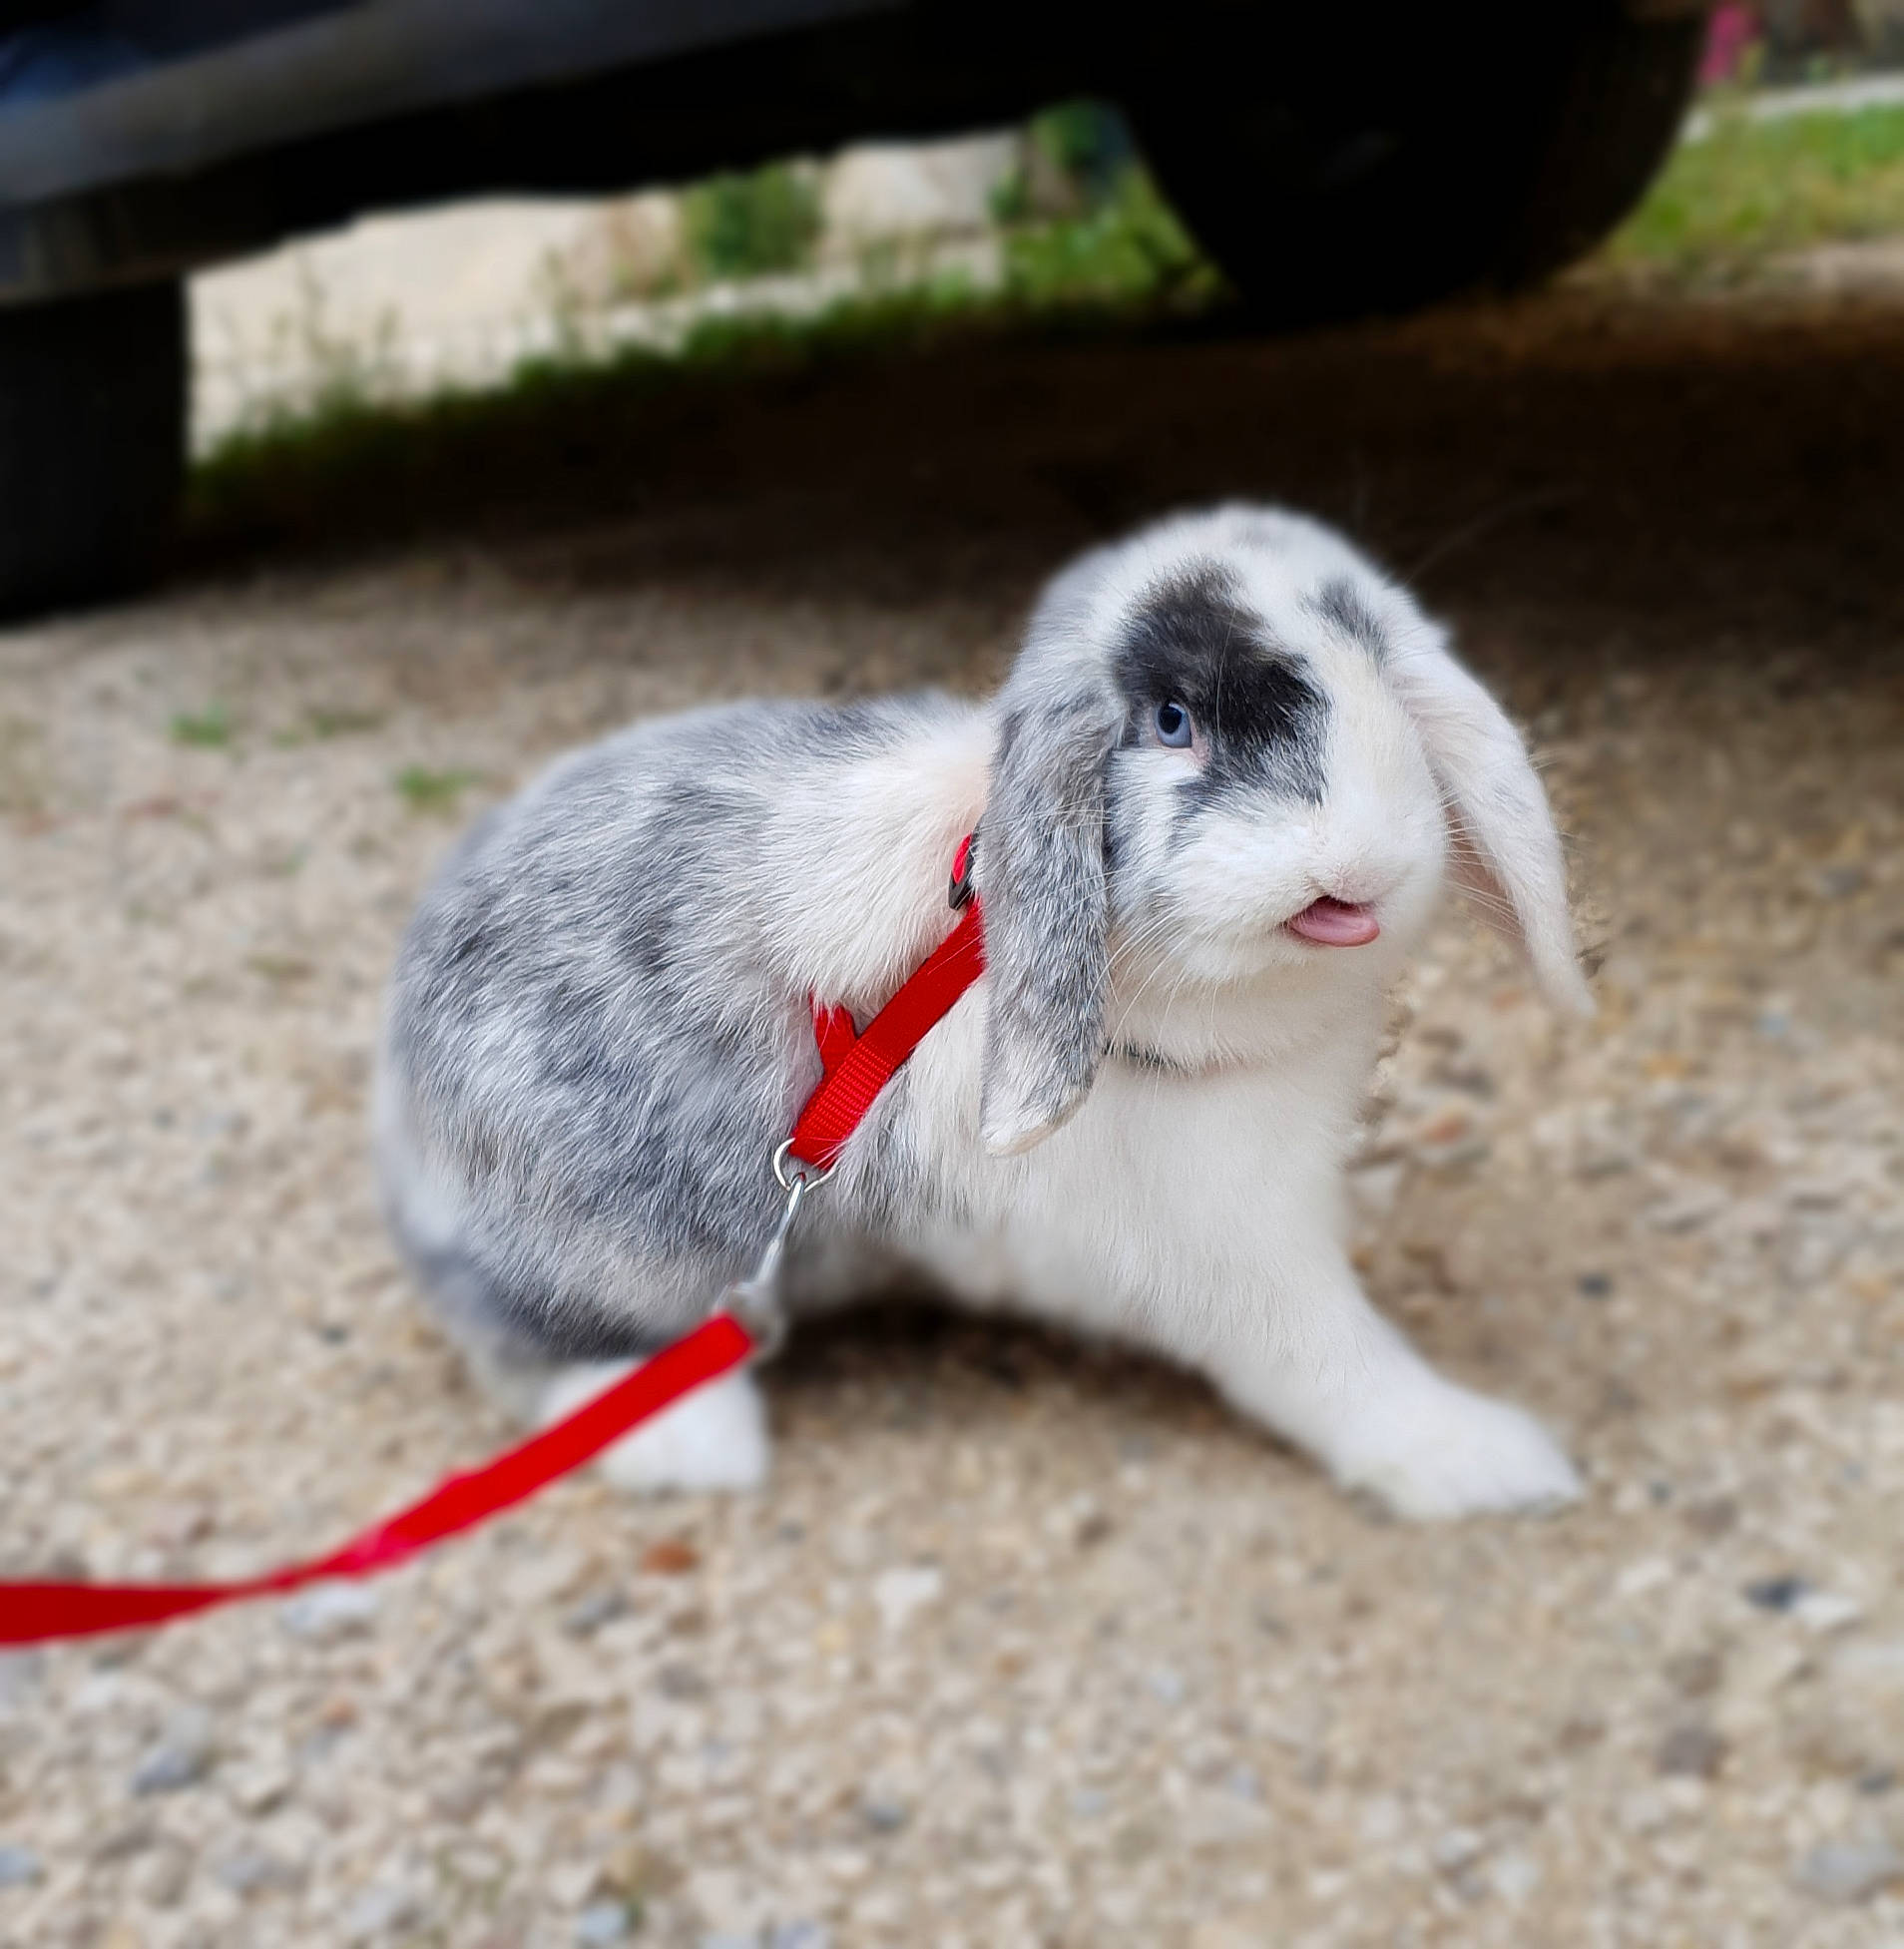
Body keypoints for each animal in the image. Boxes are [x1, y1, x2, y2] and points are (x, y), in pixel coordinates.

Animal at [376, 503, 1594, 1520]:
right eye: (1170, 721)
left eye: (1380, 679)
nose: (1357, 866)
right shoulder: (1238, 1250)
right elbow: (1335, 1363)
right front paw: (1489, 1460)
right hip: (612, 1241)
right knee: (536, 1341)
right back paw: (691, 1448)